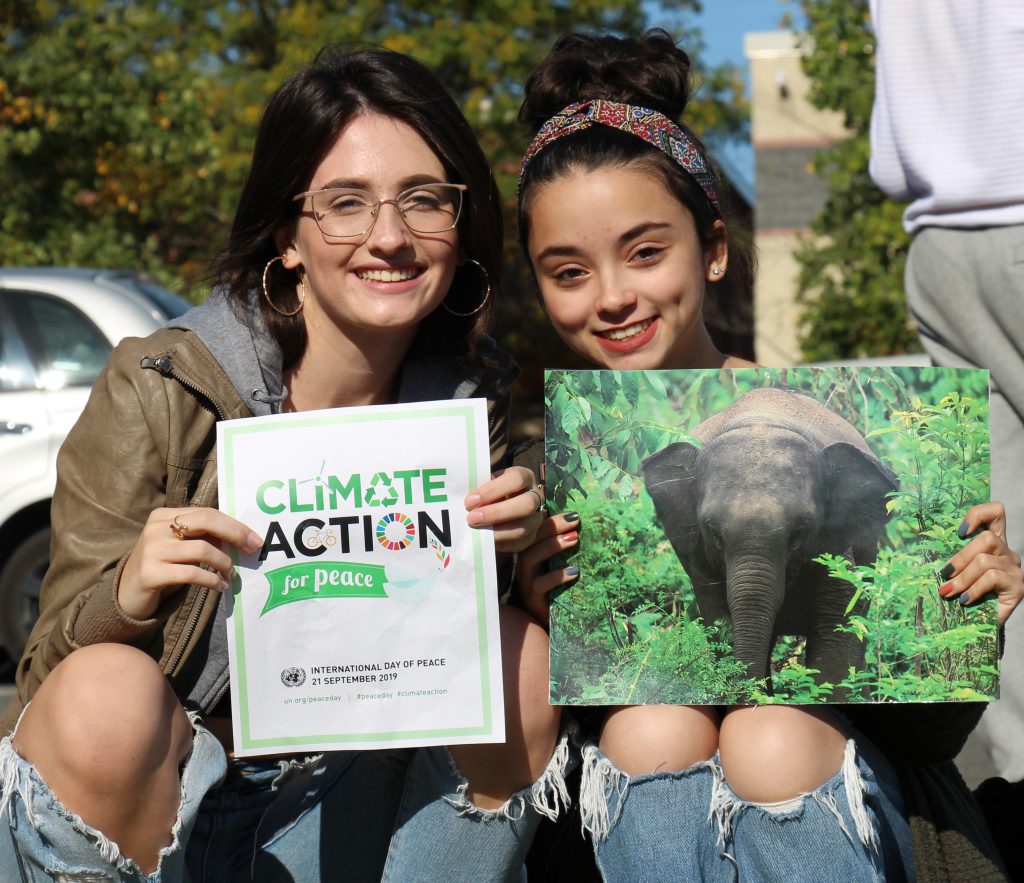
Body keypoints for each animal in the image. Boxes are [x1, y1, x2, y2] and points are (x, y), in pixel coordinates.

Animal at [643, 387, 901, 696]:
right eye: (714, 533)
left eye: (799, 533)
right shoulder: (700, 560)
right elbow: (719, 620)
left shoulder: (835, 547)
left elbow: (839, 616)